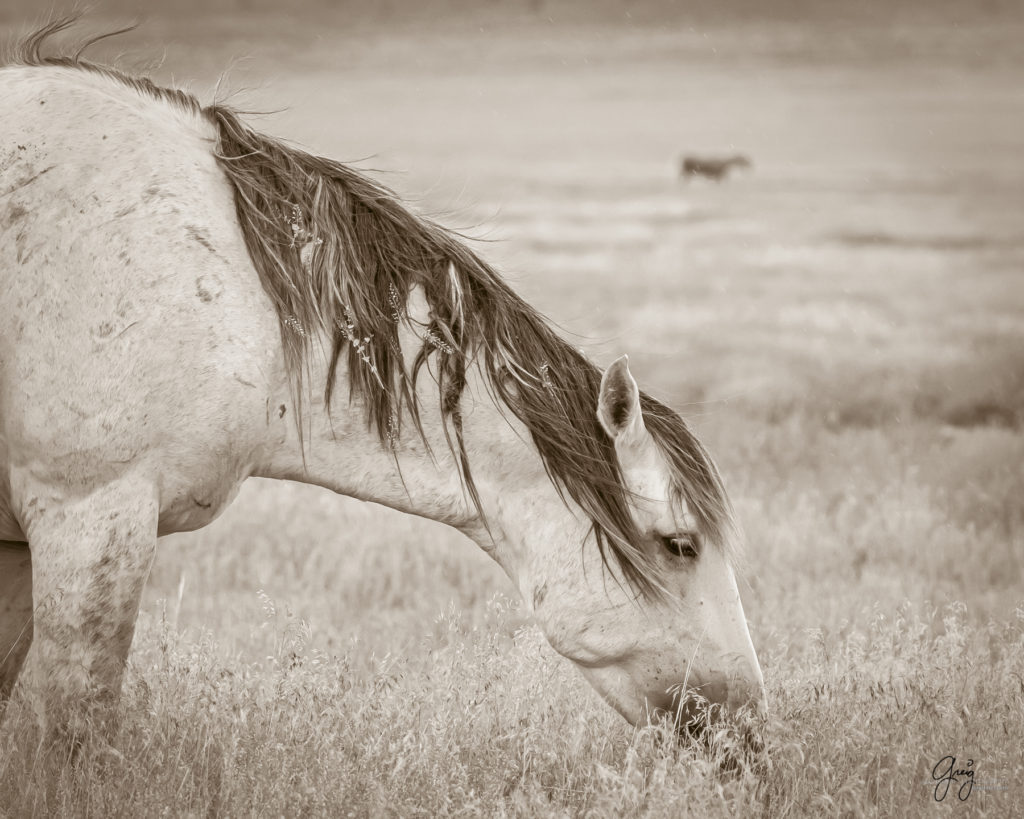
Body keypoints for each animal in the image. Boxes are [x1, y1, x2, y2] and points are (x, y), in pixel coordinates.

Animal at [0, 20, 761, 749]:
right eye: (681, 545)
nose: (748, 729)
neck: (243, 300)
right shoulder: (93, 516)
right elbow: (74, 725)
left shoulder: (19, 545)